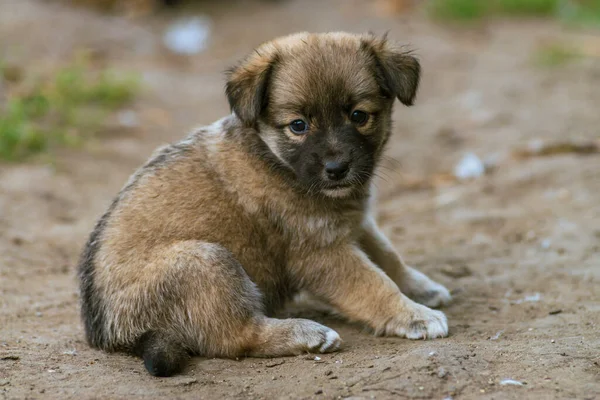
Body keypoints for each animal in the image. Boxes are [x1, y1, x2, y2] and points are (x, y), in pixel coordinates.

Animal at [78, 32, 450, 378]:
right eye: (298, 125)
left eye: (359, 116)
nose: (337, 169)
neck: (276, 160)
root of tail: (112, 335)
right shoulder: (322, 253)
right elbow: (374, 285)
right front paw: (414, 315)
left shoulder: (355, 224)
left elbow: (389, 257)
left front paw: (422, 289)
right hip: (204, 261)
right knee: (238, 337)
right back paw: (306, 334)